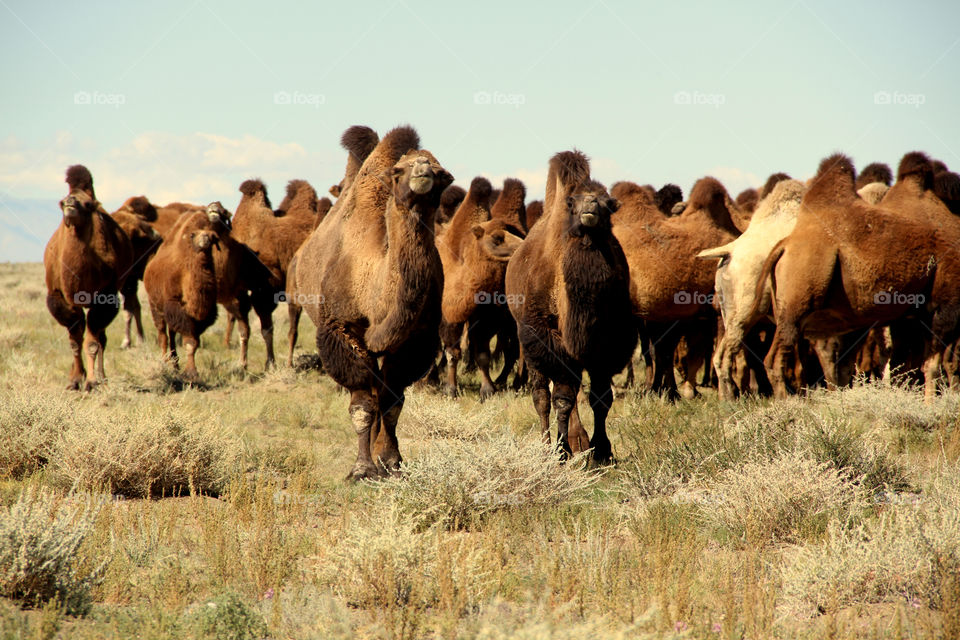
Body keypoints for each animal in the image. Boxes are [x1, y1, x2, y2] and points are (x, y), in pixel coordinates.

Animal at [44, 165, 133, 390]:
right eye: (64, 200)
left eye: (87, 204)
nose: (70, 203)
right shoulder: (60, 297)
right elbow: (75, 340)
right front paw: (75, 379)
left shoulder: (105, 295)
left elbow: (93, 342)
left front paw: (92, 381)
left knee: (102, 337)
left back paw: (102, 377)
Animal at [143, 211, 220, 381]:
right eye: (194, 235)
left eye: (213, 236)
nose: (206, 238)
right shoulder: (176, 306)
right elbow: (190, 341)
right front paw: (191, 373)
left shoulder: (201, 317)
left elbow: (194, 342)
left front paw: (187, 370)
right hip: (155, 305)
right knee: (162, 335)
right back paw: (165, 362)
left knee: (171, 335)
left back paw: (175, 364)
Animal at [292, 125, 453, 480]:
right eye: (398, 171)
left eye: (442, 173)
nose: (423, 172)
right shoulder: (341, 329)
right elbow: (363, 406)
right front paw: (362, 468)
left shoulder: (415, 339)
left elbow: (392, 402)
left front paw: (391, 461)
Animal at [505, 151, 636, 462]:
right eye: (573, 202)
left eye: (606, 202)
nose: (590, 206)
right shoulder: (548, 336)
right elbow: (562, 398)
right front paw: (562, 451)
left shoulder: (607, 342)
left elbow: (601, 398)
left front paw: (602, 450)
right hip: (531, 343)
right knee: (542, 395)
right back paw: (548, 445)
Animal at [759, 152, 960, 400]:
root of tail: (784, 246)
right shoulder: (945, 306)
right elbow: (931, 366)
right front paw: (930, 405)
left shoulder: (910, 317)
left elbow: (906, 367)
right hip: (796, 304)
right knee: (775, 359)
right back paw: (786, 402)